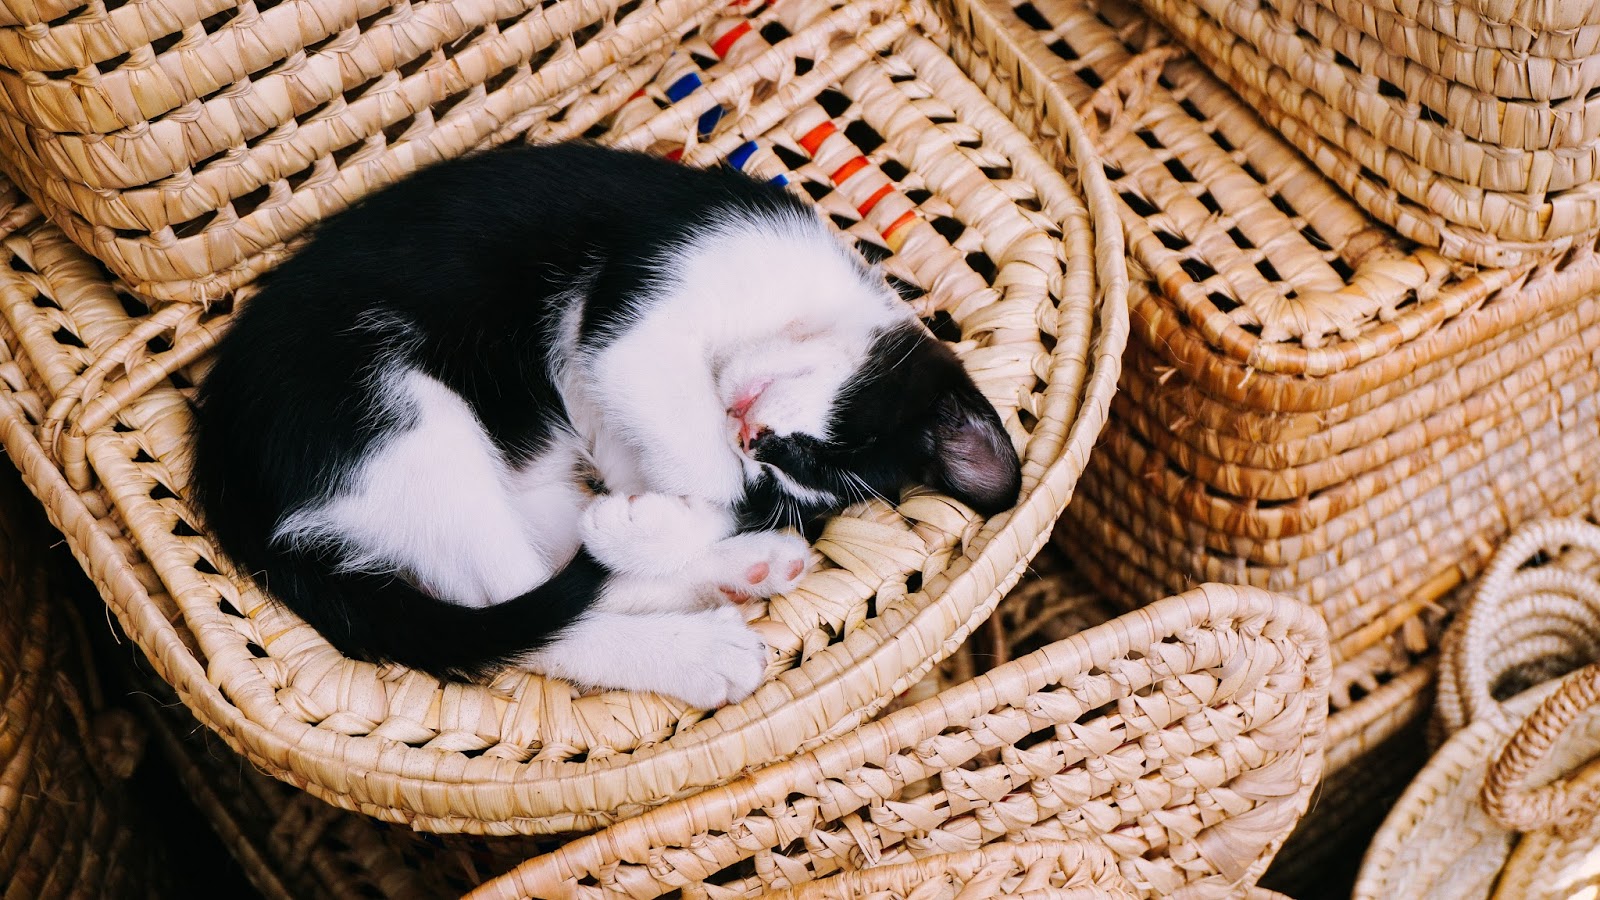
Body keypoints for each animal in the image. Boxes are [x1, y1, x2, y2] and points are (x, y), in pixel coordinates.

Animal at [193, 140, 1017, 704]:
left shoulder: (618, 407)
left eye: (802, 472)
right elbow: (703, 467)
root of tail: (221, 453)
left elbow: (685, 479)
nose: (756, 439)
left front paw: (653, 525)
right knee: (508, 606)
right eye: (825, 451)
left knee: (545, 572)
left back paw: (735, 568)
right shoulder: (638, 320)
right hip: (394, 415)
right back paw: (698, 651)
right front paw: (673, 515)